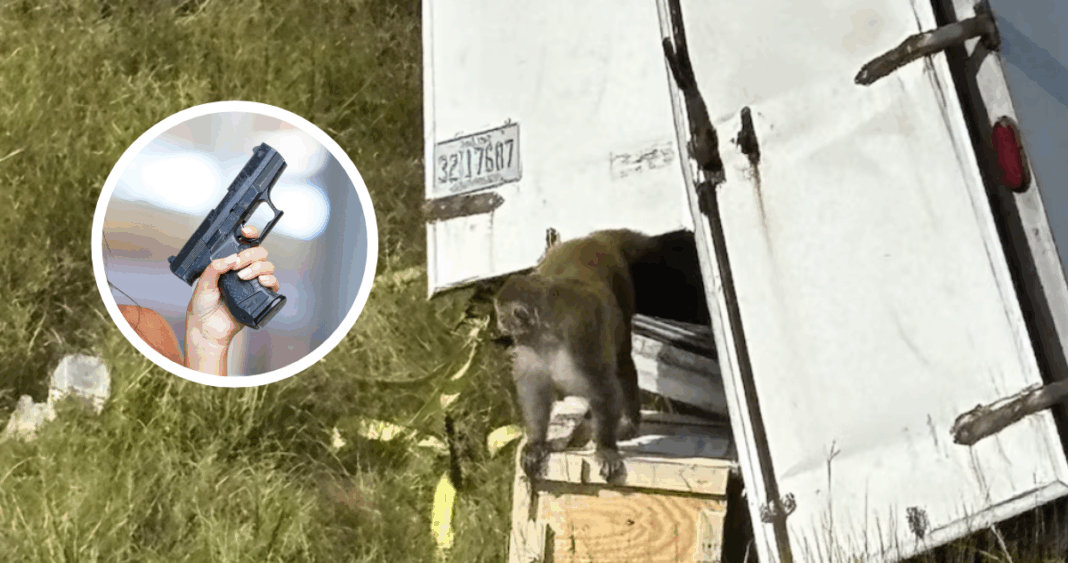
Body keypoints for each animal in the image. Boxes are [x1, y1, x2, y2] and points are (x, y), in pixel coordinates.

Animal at [494, 229, 659, 483]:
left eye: (502, 316)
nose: (498, 324)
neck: (546, 334)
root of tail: (591, 238)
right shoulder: (527, 346)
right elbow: (535, 390)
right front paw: (536, 443)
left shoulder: (580, 337)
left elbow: (603, 388)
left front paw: (606, 448)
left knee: (622, 361)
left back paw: (629, 422)